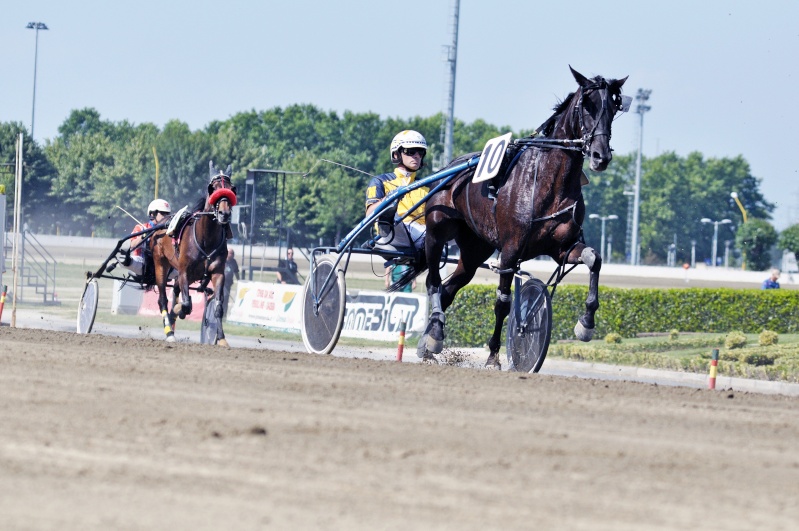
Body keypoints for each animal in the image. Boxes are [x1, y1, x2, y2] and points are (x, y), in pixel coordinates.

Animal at [150, 161, 238, 344]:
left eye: (232, 188)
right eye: (212, 188)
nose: (224, 213)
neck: (206, 239)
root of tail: (161, 223)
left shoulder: (218, 272)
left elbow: (218, 306)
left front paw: (221, 338)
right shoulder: (184, 271)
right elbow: (185, 304)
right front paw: (178, 310)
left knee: (176, 289)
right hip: (160, 265)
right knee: (163, 299)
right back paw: (169, 331)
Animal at [416, 66, 628, 368]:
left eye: (613, 107)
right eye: (586, 104)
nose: (601, 155)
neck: (549, 184)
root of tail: (449, 167)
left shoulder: (562, 248)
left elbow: (594, 259)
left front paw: (585, 324)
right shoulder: (510, 251)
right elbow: (503, 302)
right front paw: (494, 355)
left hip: (475, 249)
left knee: (448, 290)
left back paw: (429, 340)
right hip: (437, 231)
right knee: (433, 282)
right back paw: (434, 336)